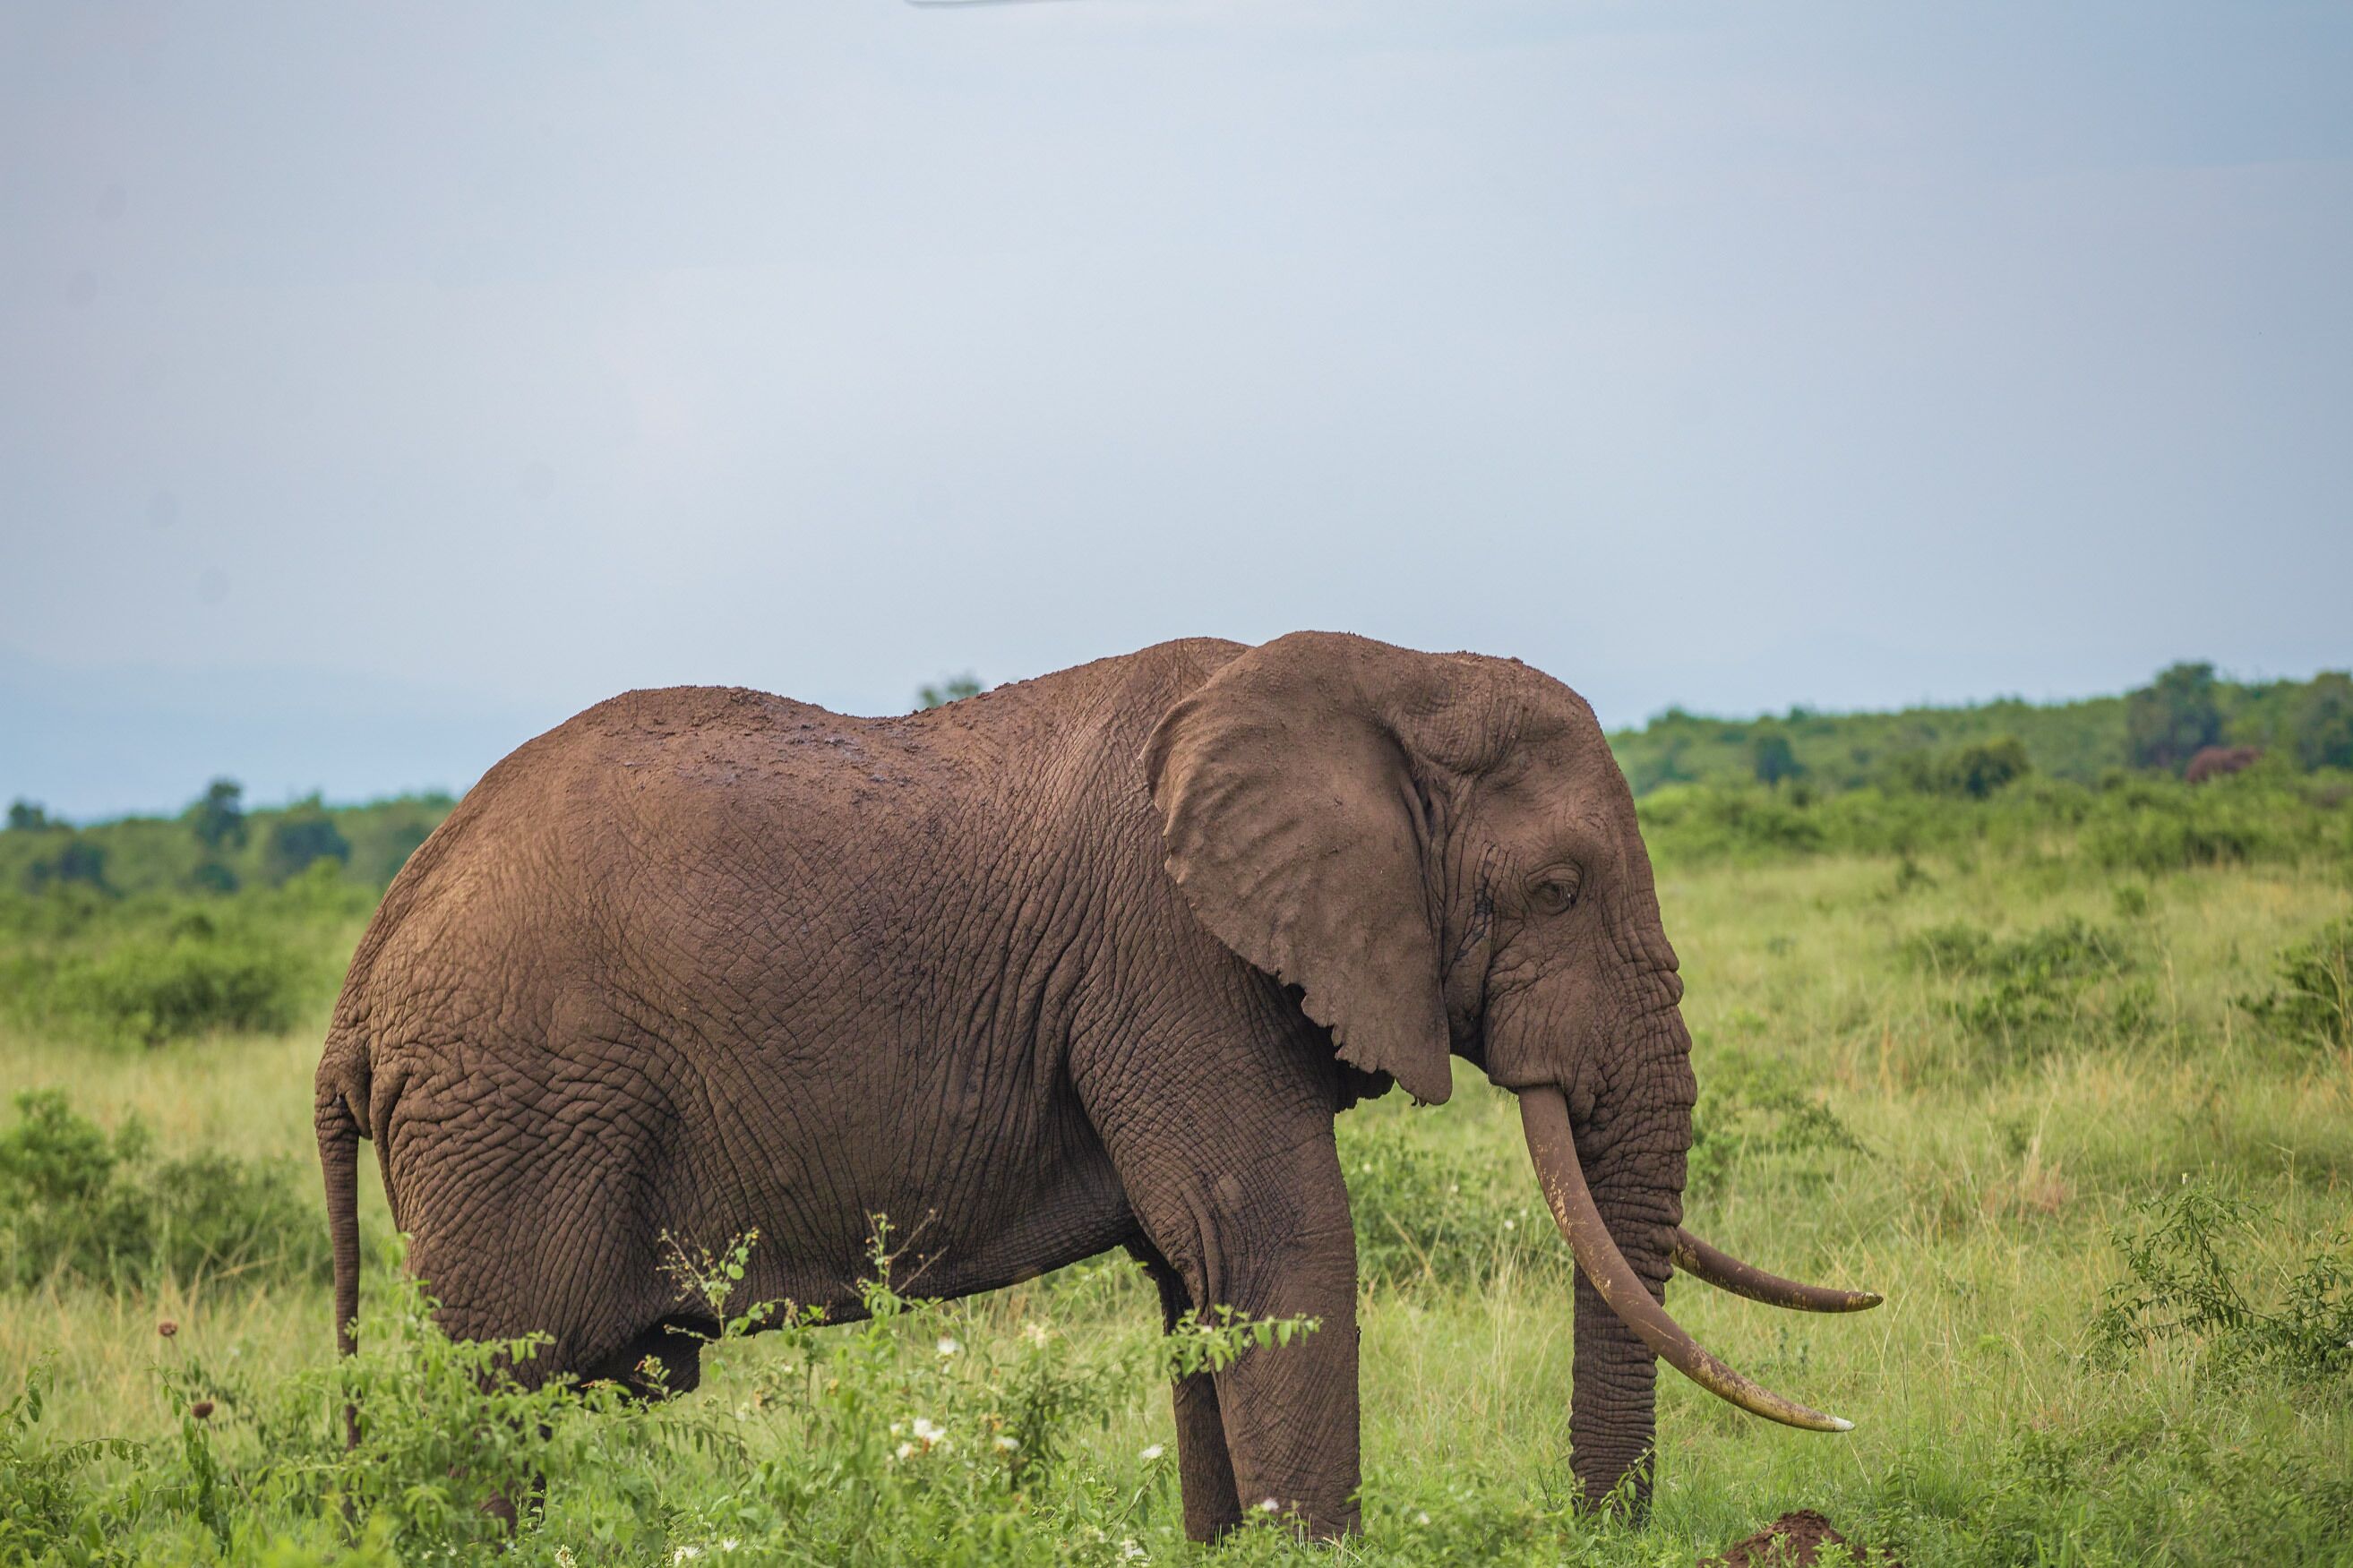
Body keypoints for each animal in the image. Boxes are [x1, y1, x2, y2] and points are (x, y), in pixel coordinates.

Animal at [315, 631, 1879, 1539]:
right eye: (1553, 887)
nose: (1600, 1529)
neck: (1382, 667)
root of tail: (364, 969)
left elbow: (1205, 1290)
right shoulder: (1169, 955)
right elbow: (1280, 1251)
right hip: (517, 1111)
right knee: (495, 1407)